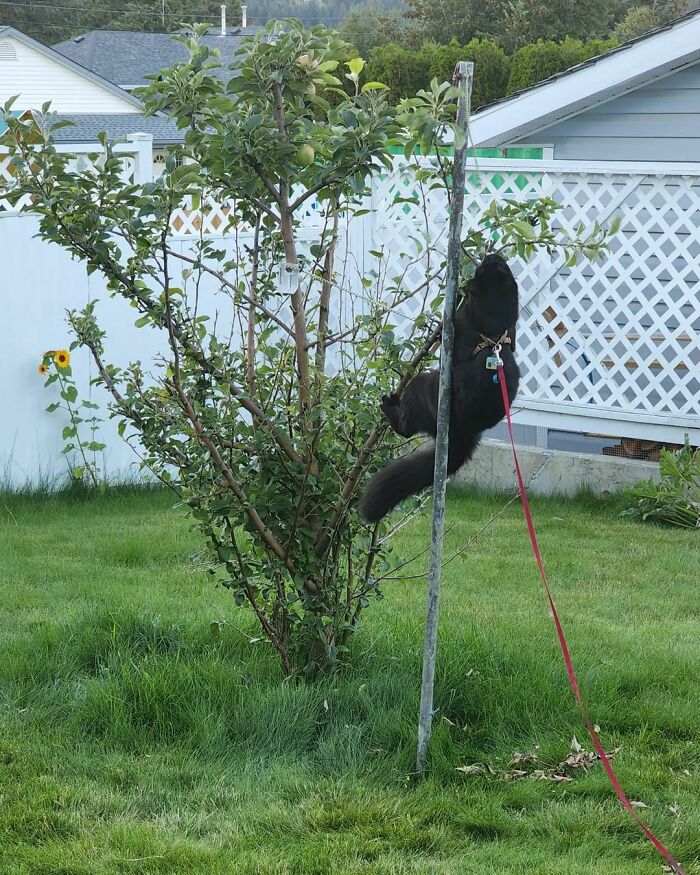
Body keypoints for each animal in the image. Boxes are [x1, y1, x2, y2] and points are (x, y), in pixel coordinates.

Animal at [358, 253, 520, 523]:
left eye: (486, 267)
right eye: (497, 263)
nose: (491, 255)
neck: (494, 335)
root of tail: (463, 436)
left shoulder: (460, 329)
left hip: (421, 387)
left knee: (405, 427)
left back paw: (390, 409)